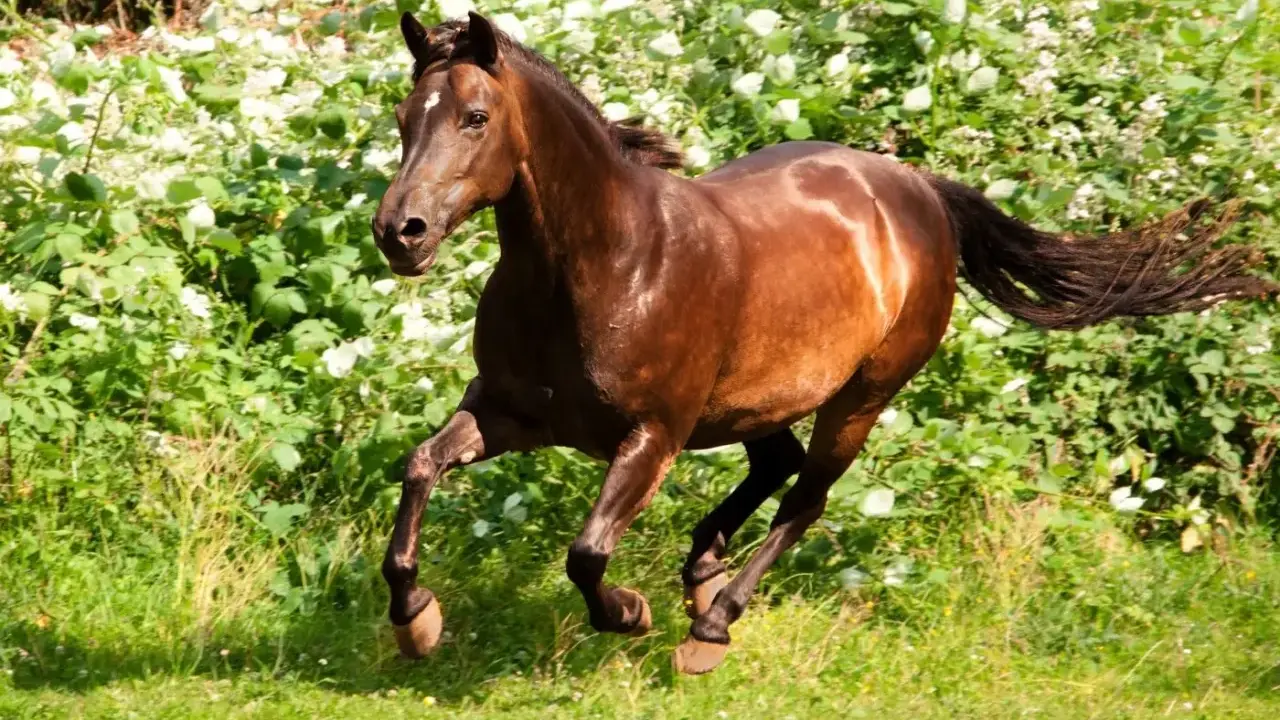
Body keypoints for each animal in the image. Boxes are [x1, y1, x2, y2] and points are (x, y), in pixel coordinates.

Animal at [370, 12, 1277, 674]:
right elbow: (419, 468)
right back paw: (702, 575)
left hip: (862, 396)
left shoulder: (652, 436)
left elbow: (587, 552)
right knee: (777, 466)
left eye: (476, 117)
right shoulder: (511, 413)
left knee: (806, 496)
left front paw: (629, 613)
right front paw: (417, 621)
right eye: (404, 117)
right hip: (759, 398)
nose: (399, 232)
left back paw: (712, 625)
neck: (606, 265)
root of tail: (920, 190)